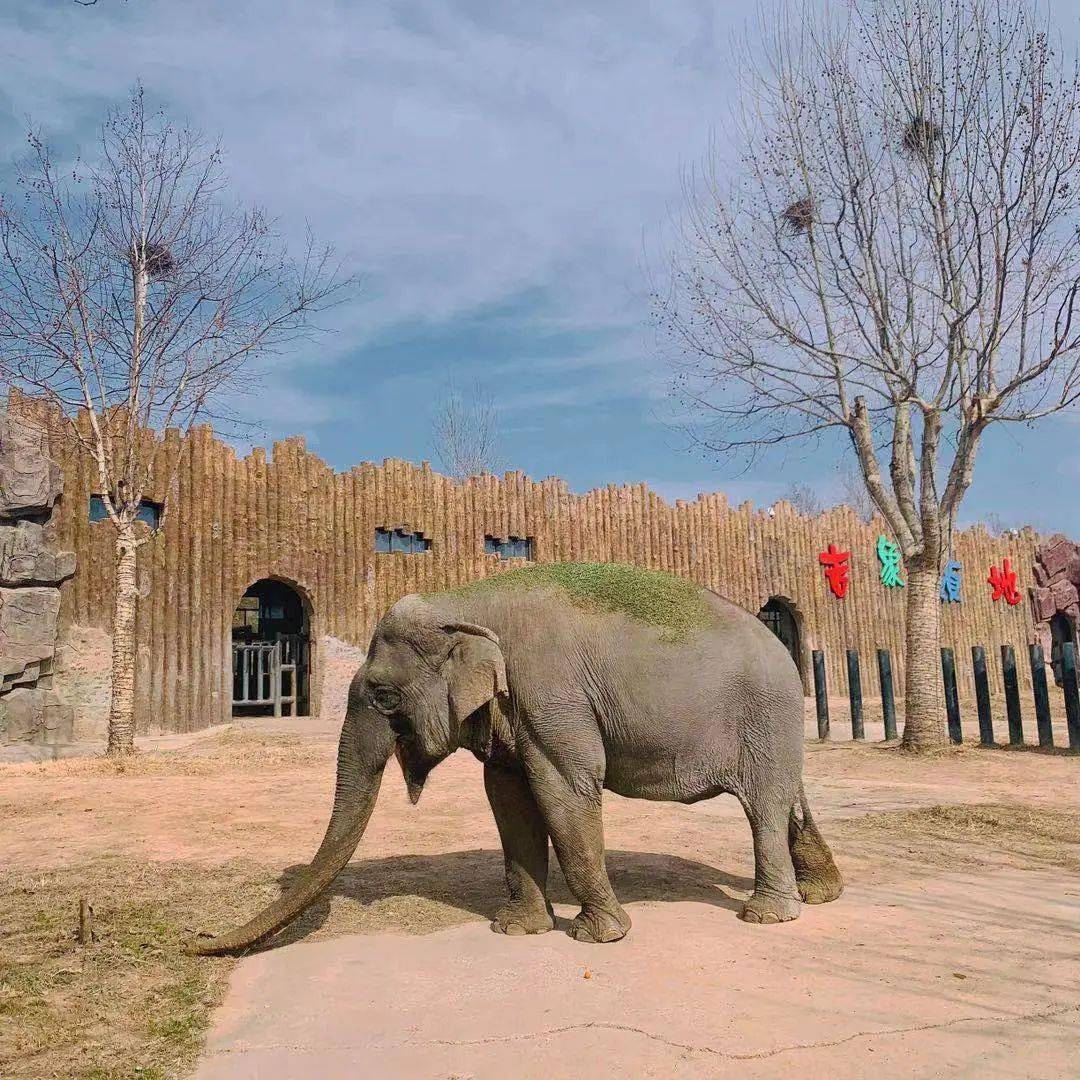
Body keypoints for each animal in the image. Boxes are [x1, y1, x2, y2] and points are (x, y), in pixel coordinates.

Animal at [190, 565, 838, 954]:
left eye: (383, 695)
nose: (195, 936)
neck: (464, 601)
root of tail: (785, 648)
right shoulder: (509, 714)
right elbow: (508, 799)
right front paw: (518, 929)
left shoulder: (552, 696)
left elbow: (565, 791)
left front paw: (597, 937)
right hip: (775, 729)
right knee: (792, 803)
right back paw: (822, 894)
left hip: (765, 716)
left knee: (764, 809)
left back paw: (767, 915)